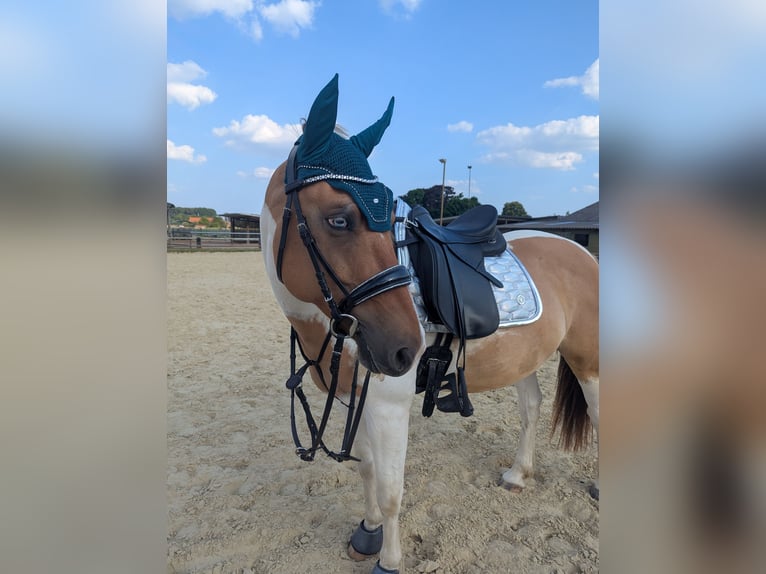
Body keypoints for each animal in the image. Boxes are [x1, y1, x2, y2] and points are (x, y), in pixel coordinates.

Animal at [260, 74, 599, 574]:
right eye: (338, 219)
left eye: (390, 218)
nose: (404, 347)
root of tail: (580, 250)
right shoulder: (355, 396)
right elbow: (365, 469)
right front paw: (367, 533)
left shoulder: (387, 403)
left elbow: (391, 490)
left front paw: (388, 560)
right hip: (523, 356)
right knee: (531, 408)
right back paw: (518, 474)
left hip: (587, 357)